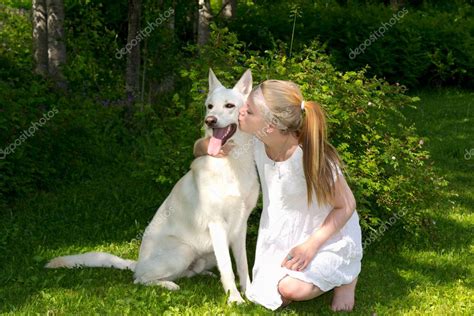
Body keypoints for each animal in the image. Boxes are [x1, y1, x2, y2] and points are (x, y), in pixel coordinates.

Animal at [46, 69, 258, 304]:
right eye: (210, 106)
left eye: (229, 105)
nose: (209, 120)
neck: (232, 163)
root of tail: (138, 263)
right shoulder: (217, 225)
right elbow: (228, 268)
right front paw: (235, 299)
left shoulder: (240, 227)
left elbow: (243, 266)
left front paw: (250, 293)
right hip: (183, 250)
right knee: (141, 279)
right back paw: (168, 285)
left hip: (204, 254)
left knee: (186, 272)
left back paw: (200, 273)